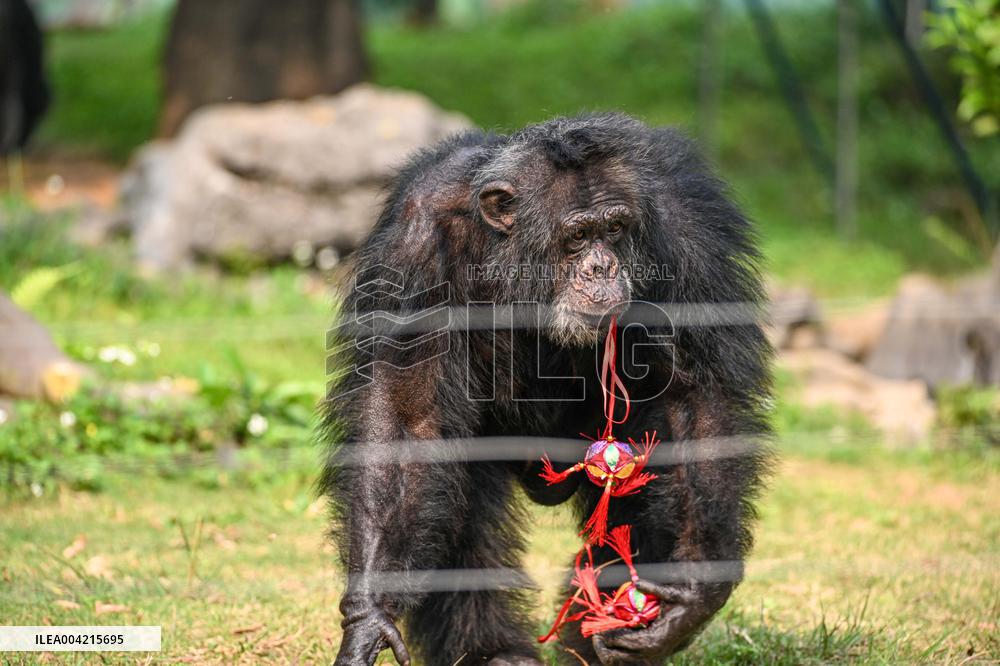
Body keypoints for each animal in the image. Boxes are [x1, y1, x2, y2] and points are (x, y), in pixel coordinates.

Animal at [322, 113, 772, 665]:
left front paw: (694, 586)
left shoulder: (686, 227)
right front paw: (369, 619)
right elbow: (405, 411)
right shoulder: (416, 239)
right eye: (577, 235)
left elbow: (693, 394)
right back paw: (492, 651)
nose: (602, 267)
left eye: (615, 229)